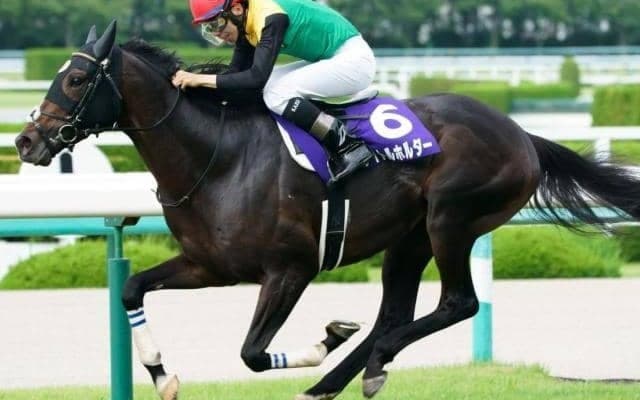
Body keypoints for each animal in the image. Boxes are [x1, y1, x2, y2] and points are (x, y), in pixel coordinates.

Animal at [15, 21, 640, 400]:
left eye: (76, 78)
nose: (25, 141)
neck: (218, 159)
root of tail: (522, 135)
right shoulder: (210, 266)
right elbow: (131, 289)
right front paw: (162, 375)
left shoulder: (290, 270)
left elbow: (251, 353)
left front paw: (324, 340)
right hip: (408, 238)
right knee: (394, 314)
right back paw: (346, 375)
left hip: (451, 220)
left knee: (456, 303)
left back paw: (362, 363)